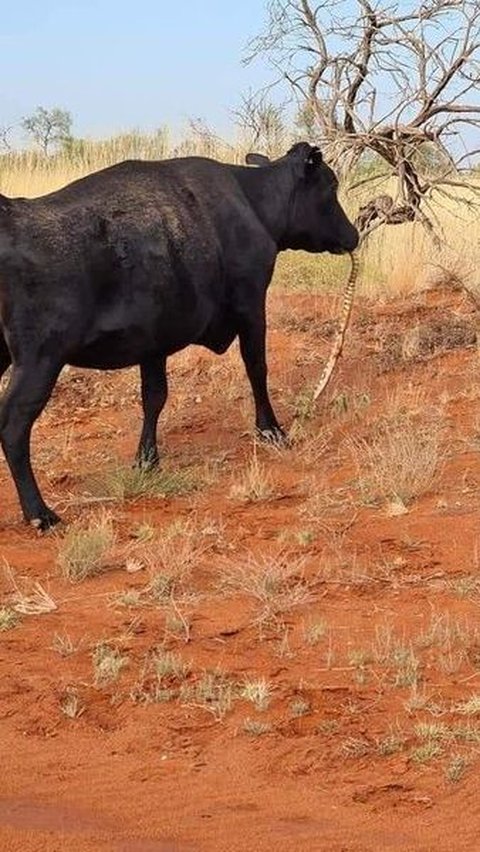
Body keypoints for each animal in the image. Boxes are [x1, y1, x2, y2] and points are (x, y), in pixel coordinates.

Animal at [0, 141, 356, 528]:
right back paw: (39, 512)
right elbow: (257, 368)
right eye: (331, 185)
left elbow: (154, 396)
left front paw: (147, 460)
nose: (354, 235)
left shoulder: (153, 340)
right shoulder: (251, 304)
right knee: (13, 426)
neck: (252, 202)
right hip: (40, 360)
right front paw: (271, 430)